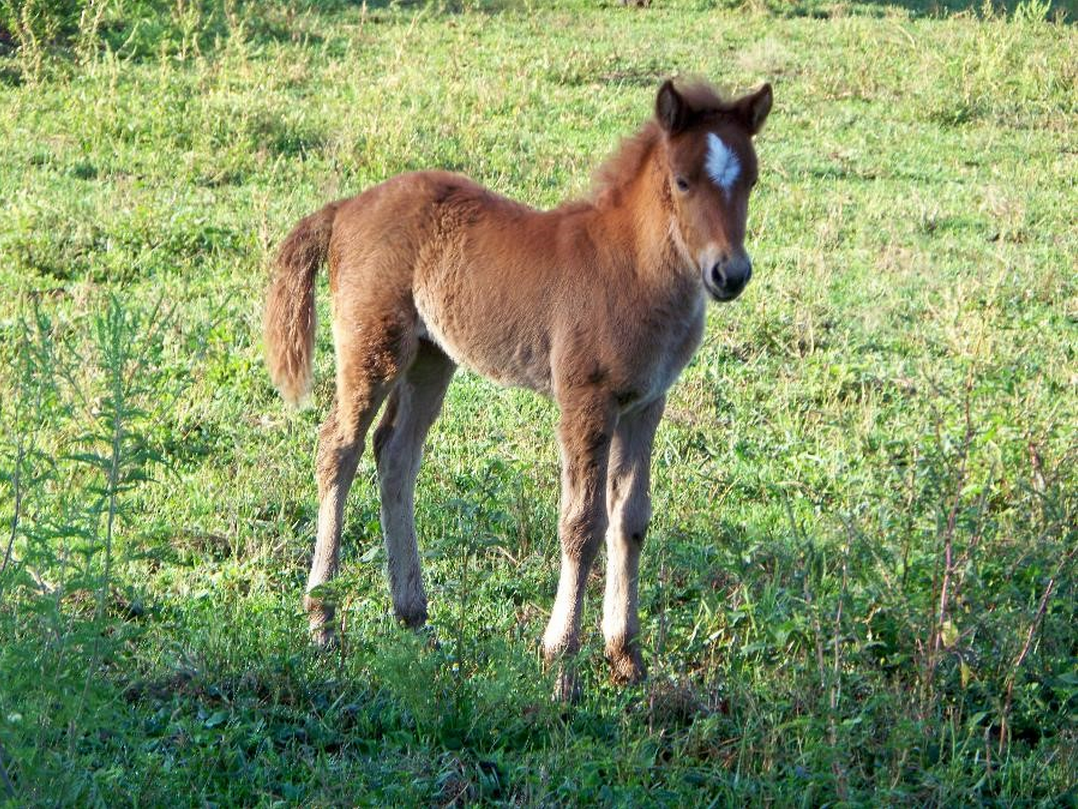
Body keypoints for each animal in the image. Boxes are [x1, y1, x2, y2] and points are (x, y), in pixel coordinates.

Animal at [269, 77, 776, 698]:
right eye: (682, 181)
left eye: (751, 180)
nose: (731, 274)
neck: (631, 269)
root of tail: (345, 209)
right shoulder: (585, 399)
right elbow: (582, 524)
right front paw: (562, 664)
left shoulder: (646, 403)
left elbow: (631, 519)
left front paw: (627, 659)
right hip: (373, 346)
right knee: (338, 449)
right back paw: (322, 622)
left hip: (433, 357)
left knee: (395, 453)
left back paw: (414, 618)